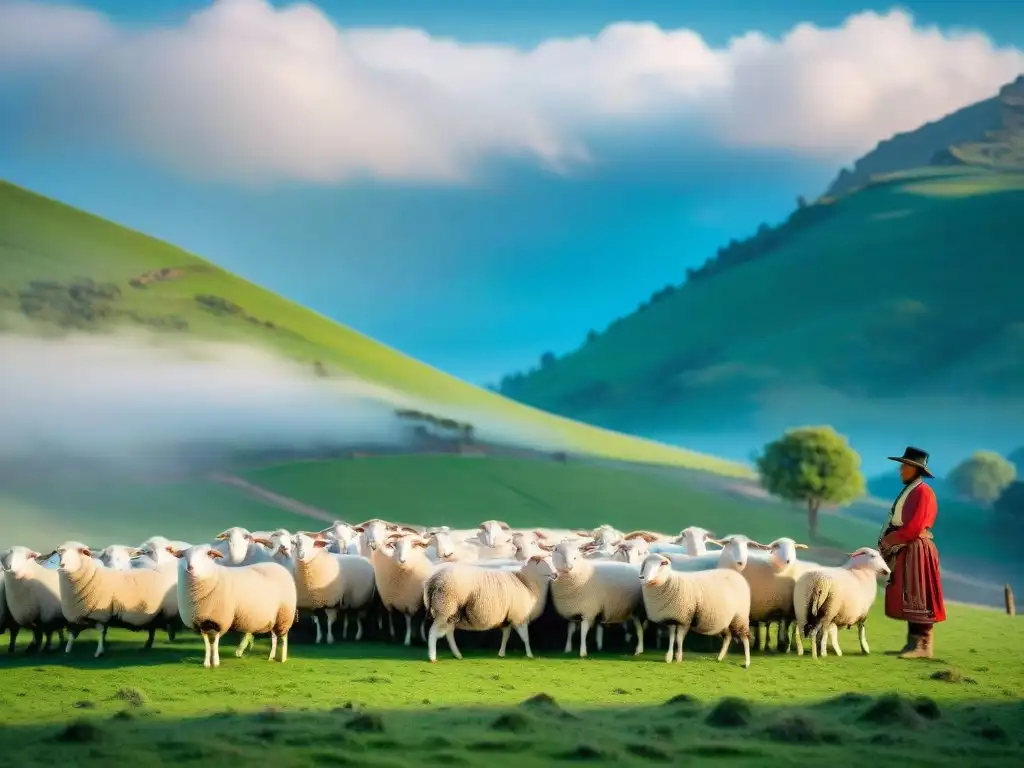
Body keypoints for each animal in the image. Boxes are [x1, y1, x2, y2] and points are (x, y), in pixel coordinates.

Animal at [41, 536, 177, 659]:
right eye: (106, 557)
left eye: (128, 558)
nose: (62, 565)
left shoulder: (104, 610)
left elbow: (101, 630)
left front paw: (99, 650)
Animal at [169, 548, 299, 667]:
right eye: (184, 556)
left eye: (206, 555)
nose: (190, 567)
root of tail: (281, 568)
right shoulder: (202, 623)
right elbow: (207, 644)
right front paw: (206, 663)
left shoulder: (220, 621)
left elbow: (214, 643)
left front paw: (215, 662)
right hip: (274, 618)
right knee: (274, 636)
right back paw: (271, 656)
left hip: (285, 614)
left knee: (283, 637)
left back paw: (282, 658)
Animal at [421, 552, 557, 663]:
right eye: (544, 563)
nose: (556, 574)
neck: (527, 582)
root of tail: (433, 579)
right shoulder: (519, 616)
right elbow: (525, 638)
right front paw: (529, 655)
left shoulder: (506, 618)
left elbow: (506, 636)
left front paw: (501, 654)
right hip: (445, 607)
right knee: (433, 632)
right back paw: (432, 657)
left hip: (452, 612)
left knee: (449, 633)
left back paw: (457, 655)